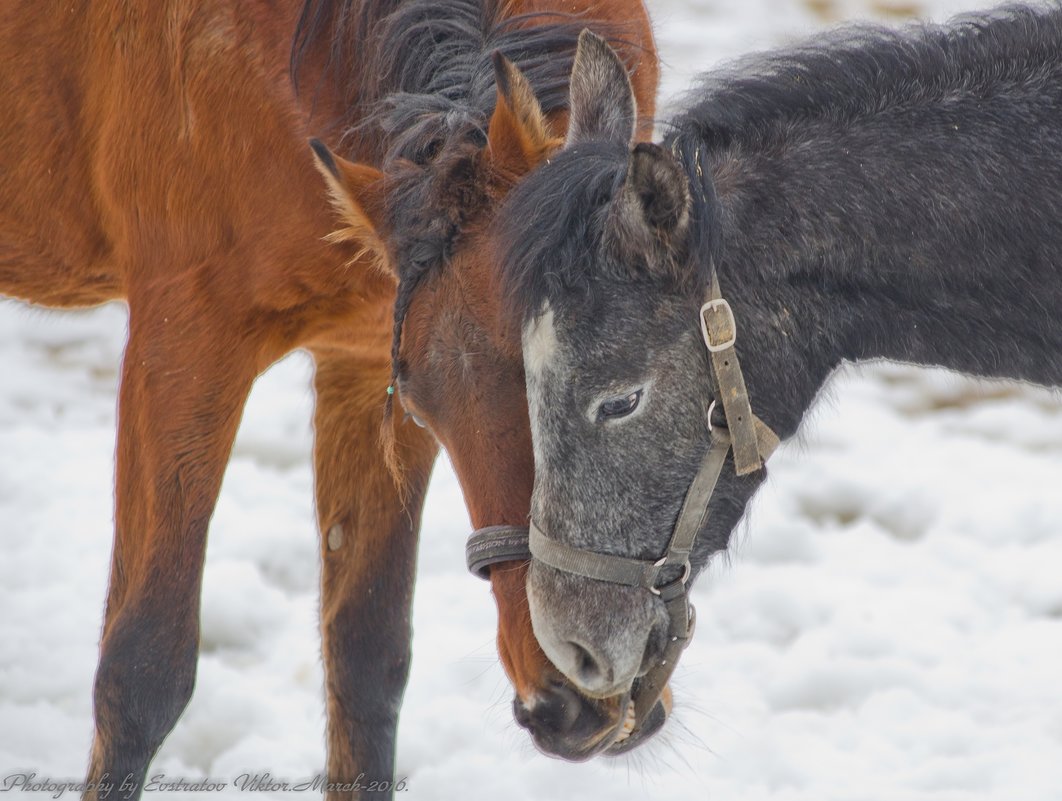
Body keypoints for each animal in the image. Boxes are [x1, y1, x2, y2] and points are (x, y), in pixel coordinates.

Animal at [0, 0, 654, 794]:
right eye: (424, 399)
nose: (572, 694)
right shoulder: (182, 343)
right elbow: (141, 671)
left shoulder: (363, 351)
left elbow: (367, 656)